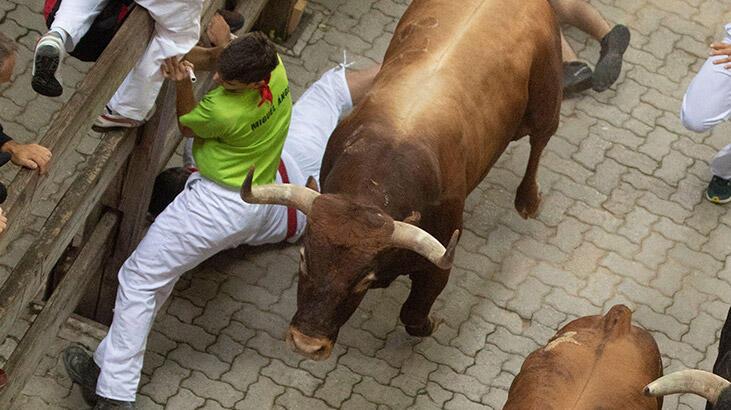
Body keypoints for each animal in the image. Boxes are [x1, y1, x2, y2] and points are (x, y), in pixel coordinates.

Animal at [243, 0, 564, 358]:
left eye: (363, 280)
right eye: (303, 259)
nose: (307, 344)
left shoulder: (437, 264)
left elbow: (412, 313)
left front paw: (430, 323)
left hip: (548, 97)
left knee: (540, 139)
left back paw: (527, 199)